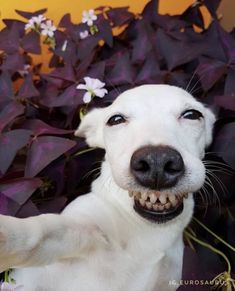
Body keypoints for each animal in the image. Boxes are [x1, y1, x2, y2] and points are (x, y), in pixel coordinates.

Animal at [0, 85, 215, 291]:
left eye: (192, 115)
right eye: (116, 120)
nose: (157, 162)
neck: (147, 230)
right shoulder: (81, 227)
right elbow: (41, 232)